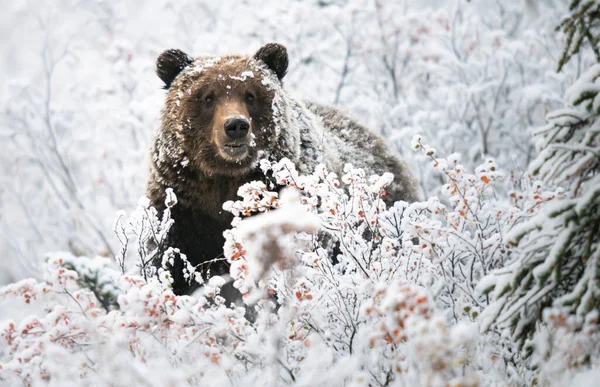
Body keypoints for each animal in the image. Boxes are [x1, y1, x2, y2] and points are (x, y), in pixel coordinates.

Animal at [147, 43, 420, 294]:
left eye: (250, 95)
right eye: (208, 97)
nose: (236, 126)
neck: (226, 180)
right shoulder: (182, 210)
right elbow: (172, 266)